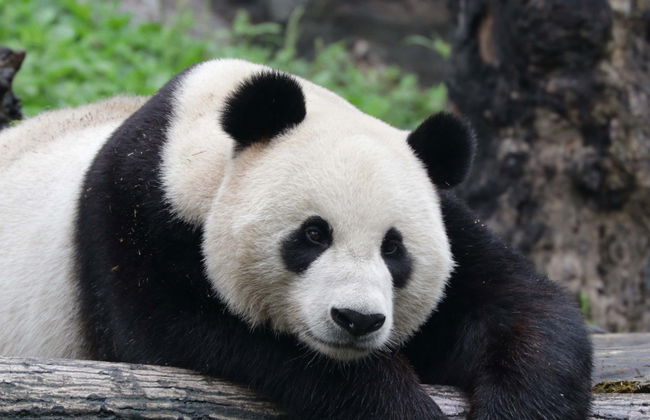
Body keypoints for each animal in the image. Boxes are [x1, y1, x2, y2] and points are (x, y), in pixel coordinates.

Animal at [0, 59, 591, 419]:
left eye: (394, 249)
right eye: (313, 234)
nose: (357, 320)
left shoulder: (449, 218)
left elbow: (520, 305)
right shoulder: (132, 223)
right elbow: (200, 334)